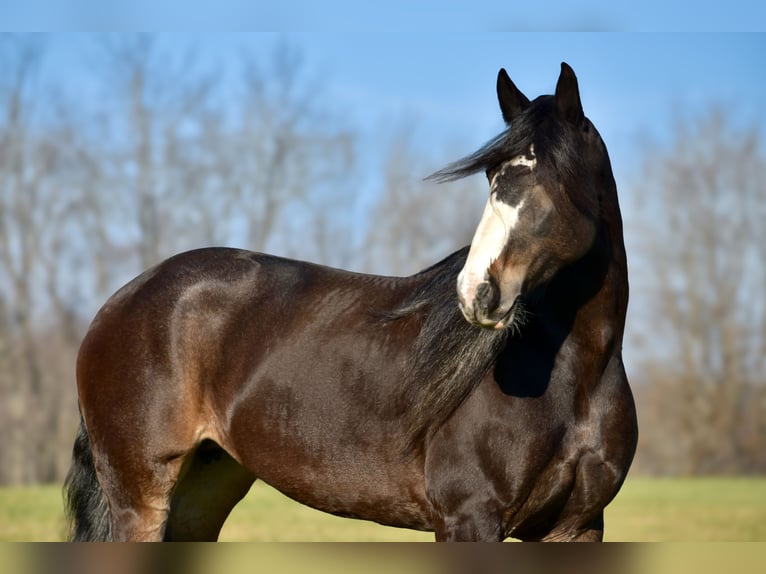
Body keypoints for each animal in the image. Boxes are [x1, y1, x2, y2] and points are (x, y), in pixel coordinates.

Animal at [64, 64, 640, 544]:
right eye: (492, 179)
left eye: (551, 178)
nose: (477, 292)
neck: (576, 379)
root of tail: (120, 301)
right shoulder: (470, 520)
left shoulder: (578, 527)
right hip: (140, 499)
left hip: (202, 493)